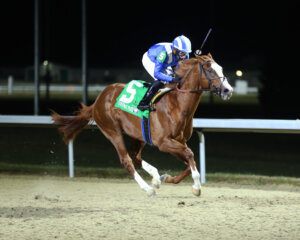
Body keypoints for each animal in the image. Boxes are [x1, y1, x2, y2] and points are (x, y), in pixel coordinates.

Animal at [51, 54, 233, 197]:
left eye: (221, 68)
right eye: (210, 70)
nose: (228, 90)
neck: (177, 105)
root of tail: (98, 100)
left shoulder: (178, 141)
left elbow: (190, 161)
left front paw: (167, 178)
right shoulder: (163, 142)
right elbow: (190, 155)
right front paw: (196, 186)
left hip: (138, 135)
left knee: (135, 156)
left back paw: (155, 177)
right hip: (112, 131)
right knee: (126, 160)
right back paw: (148, 188)